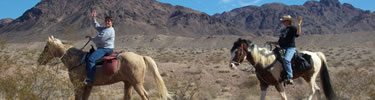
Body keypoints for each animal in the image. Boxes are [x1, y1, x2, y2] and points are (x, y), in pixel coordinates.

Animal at [37, 36, 170, 100]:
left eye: (46, 47)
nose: (39, 60)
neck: (76, 60)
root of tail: (141, 56)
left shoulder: (78, 86)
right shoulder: (88, 87)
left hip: (137, 83)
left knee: (145, 96)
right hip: (128, 83)